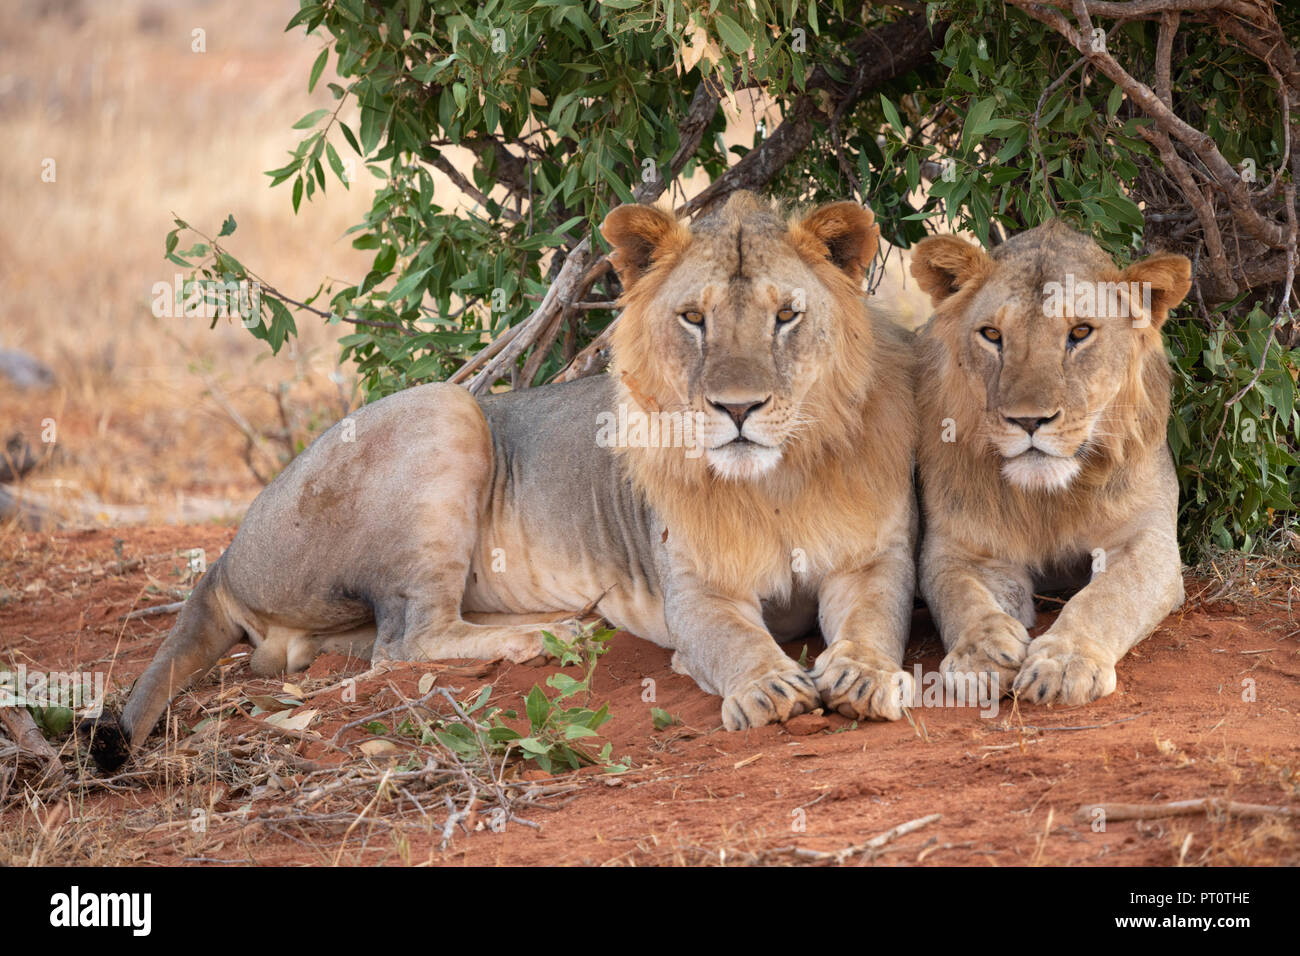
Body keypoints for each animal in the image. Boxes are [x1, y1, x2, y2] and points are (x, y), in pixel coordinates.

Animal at [82, 191, 918, 770]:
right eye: (693, 318)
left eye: (786, 316)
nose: (738, 409)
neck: (776, 483)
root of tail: (225, 555)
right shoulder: (697, 591)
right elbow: (732, 639)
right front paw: (767, 688)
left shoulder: (873, 560)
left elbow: (874, 620)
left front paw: (864, 677)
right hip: (448, 411)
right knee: (409, 638)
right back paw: (552, 634)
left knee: (339, 648)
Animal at [908, 220, 1192, 707]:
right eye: (992, 335)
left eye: (1080, 332)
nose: (1028, 420)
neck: (1047, 498)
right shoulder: (959, 547)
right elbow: (961, 594)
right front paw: (981, 655)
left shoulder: (1148, 541)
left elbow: (1108, 597)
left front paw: (1066, 662)